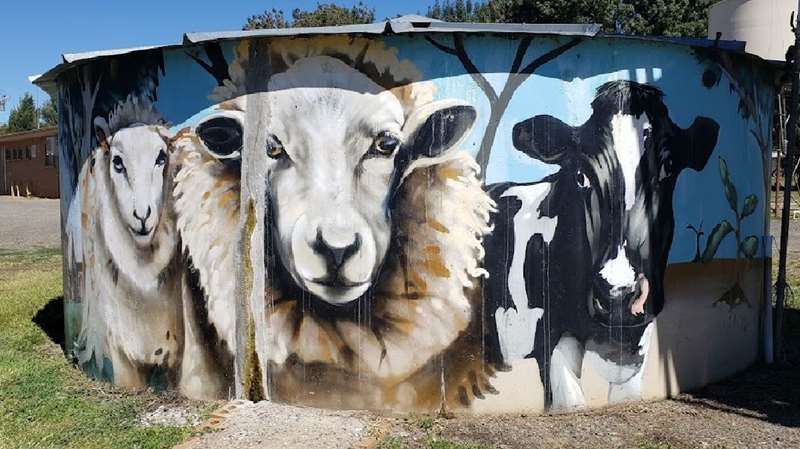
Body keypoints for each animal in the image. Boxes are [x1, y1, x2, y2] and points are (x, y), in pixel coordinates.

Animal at [482, 80, 720, 410]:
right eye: (581, 174)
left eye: (668, 167)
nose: (617, 294)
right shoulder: (551, 333)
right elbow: (570, 401)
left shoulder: (638, 337)